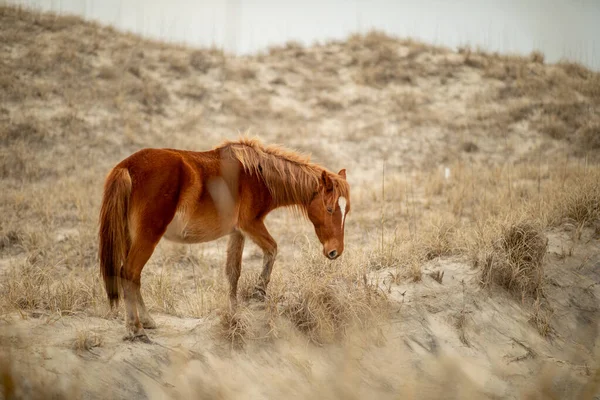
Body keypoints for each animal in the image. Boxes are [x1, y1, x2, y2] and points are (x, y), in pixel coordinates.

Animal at [98, 137, 352, 340]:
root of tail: (126, 166)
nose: (335, 251)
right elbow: (272, 249)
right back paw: (136, 329)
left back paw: (147, 321)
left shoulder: (237, 233)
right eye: (330, 209)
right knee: (129, 272)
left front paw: (234, 312)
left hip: (131, 237)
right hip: (148, 236)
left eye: (346, 211)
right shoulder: (251, 225)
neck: (256, 175)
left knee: (133, 276)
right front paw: (259, 293)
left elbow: (233, 272)